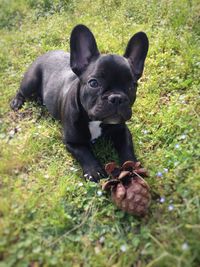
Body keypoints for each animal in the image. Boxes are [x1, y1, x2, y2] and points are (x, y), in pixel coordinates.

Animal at [10, 25, 148, 183]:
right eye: (93, 83)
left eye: (132, 86)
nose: (117, 98)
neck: (95, 121)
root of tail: (46, 54)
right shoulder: (71, 142)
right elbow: (83, 152)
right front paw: (94, 171)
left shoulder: (122, 131)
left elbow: (127, 147)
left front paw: (131, 167)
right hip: (30, 83)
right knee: (21, 90)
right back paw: (17, 102)